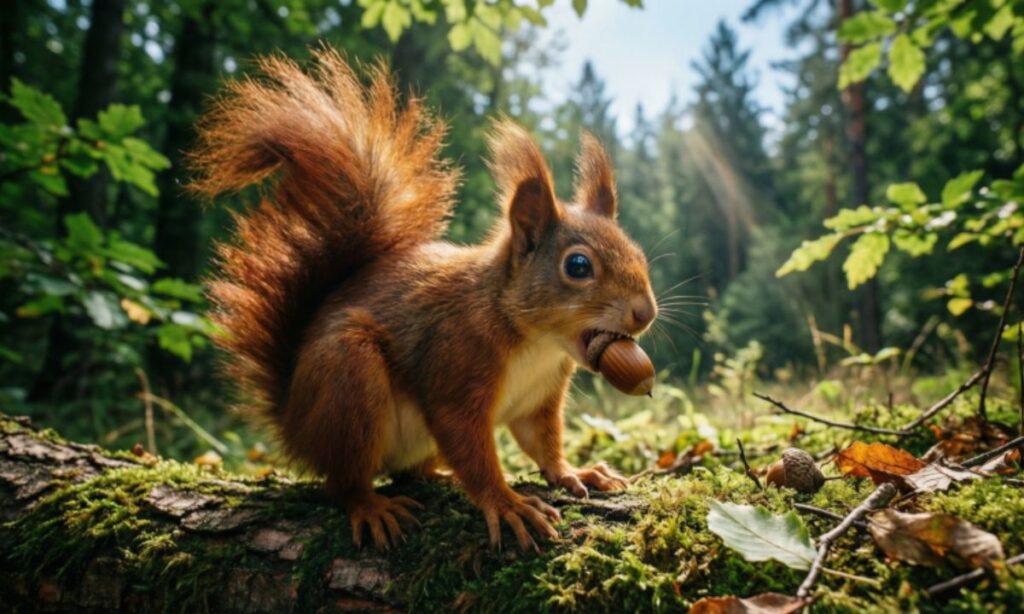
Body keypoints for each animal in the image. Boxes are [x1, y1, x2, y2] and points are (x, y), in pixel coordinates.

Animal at [189, 49, 657, 551]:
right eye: (578, 266)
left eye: (639, 253)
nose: (645, 313)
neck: (536, 341)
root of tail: (294, 422)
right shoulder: (456, 362)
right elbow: (467, 443)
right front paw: (507, 503)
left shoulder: (540, 397)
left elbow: (542, 442)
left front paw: (577, 471)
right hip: (348, 378)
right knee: (343, 481)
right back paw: (371, 507)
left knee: (410, 472)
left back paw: (439, 477)